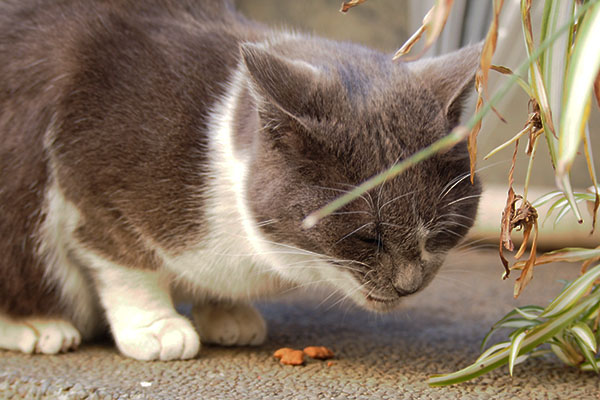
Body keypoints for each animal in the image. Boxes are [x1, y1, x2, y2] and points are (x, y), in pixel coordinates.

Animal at [0, 0, 480, 360]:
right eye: (367, 237)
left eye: (441, 231)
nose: (410, 284)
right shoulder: (92, 179)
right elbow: (126, 264)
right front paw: (157, 328)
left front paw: (226, 312)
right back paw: (37, 326)